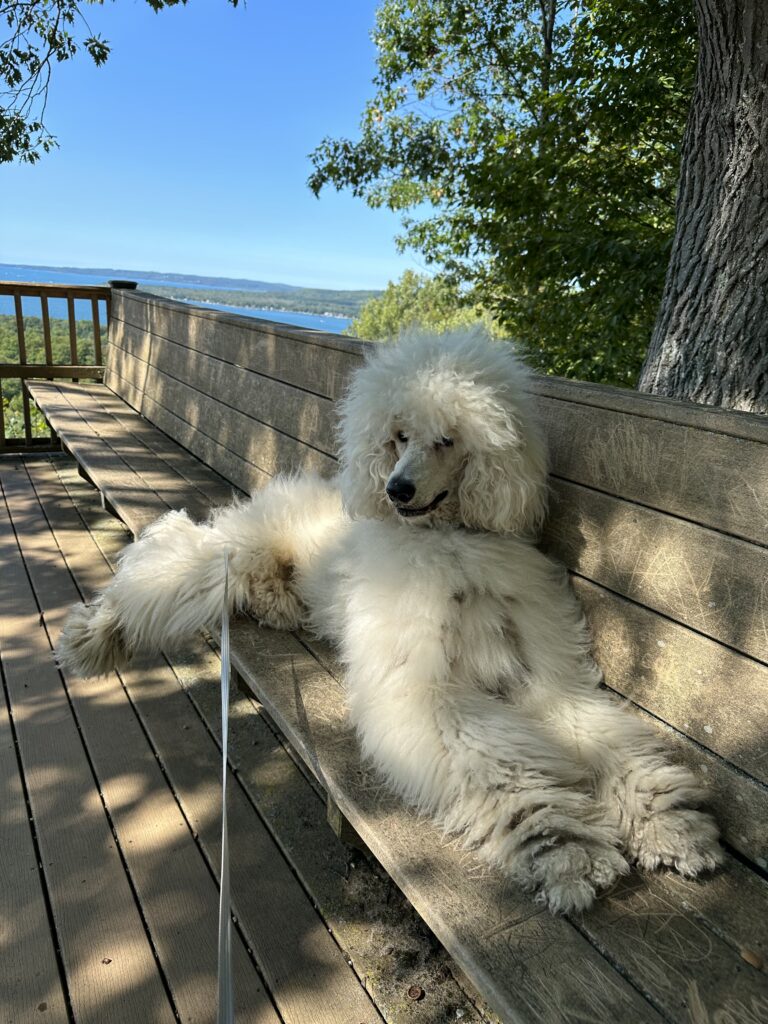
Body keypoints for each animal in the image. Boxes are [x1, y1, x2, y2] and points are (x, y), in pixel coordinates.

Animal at [58, 327, 722, 913]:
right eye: (399, 435)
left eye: (448, 440)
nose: (397, 489)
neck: (448, 542)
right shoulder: (426, 694)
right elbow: (500, 765)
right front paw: (564, 848)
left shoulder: (545, 680)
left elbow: (602, 738)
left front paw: (669, 823)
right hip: (227, 559)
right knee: (166, 569)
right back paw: (93, 636)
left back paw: (276, 604)